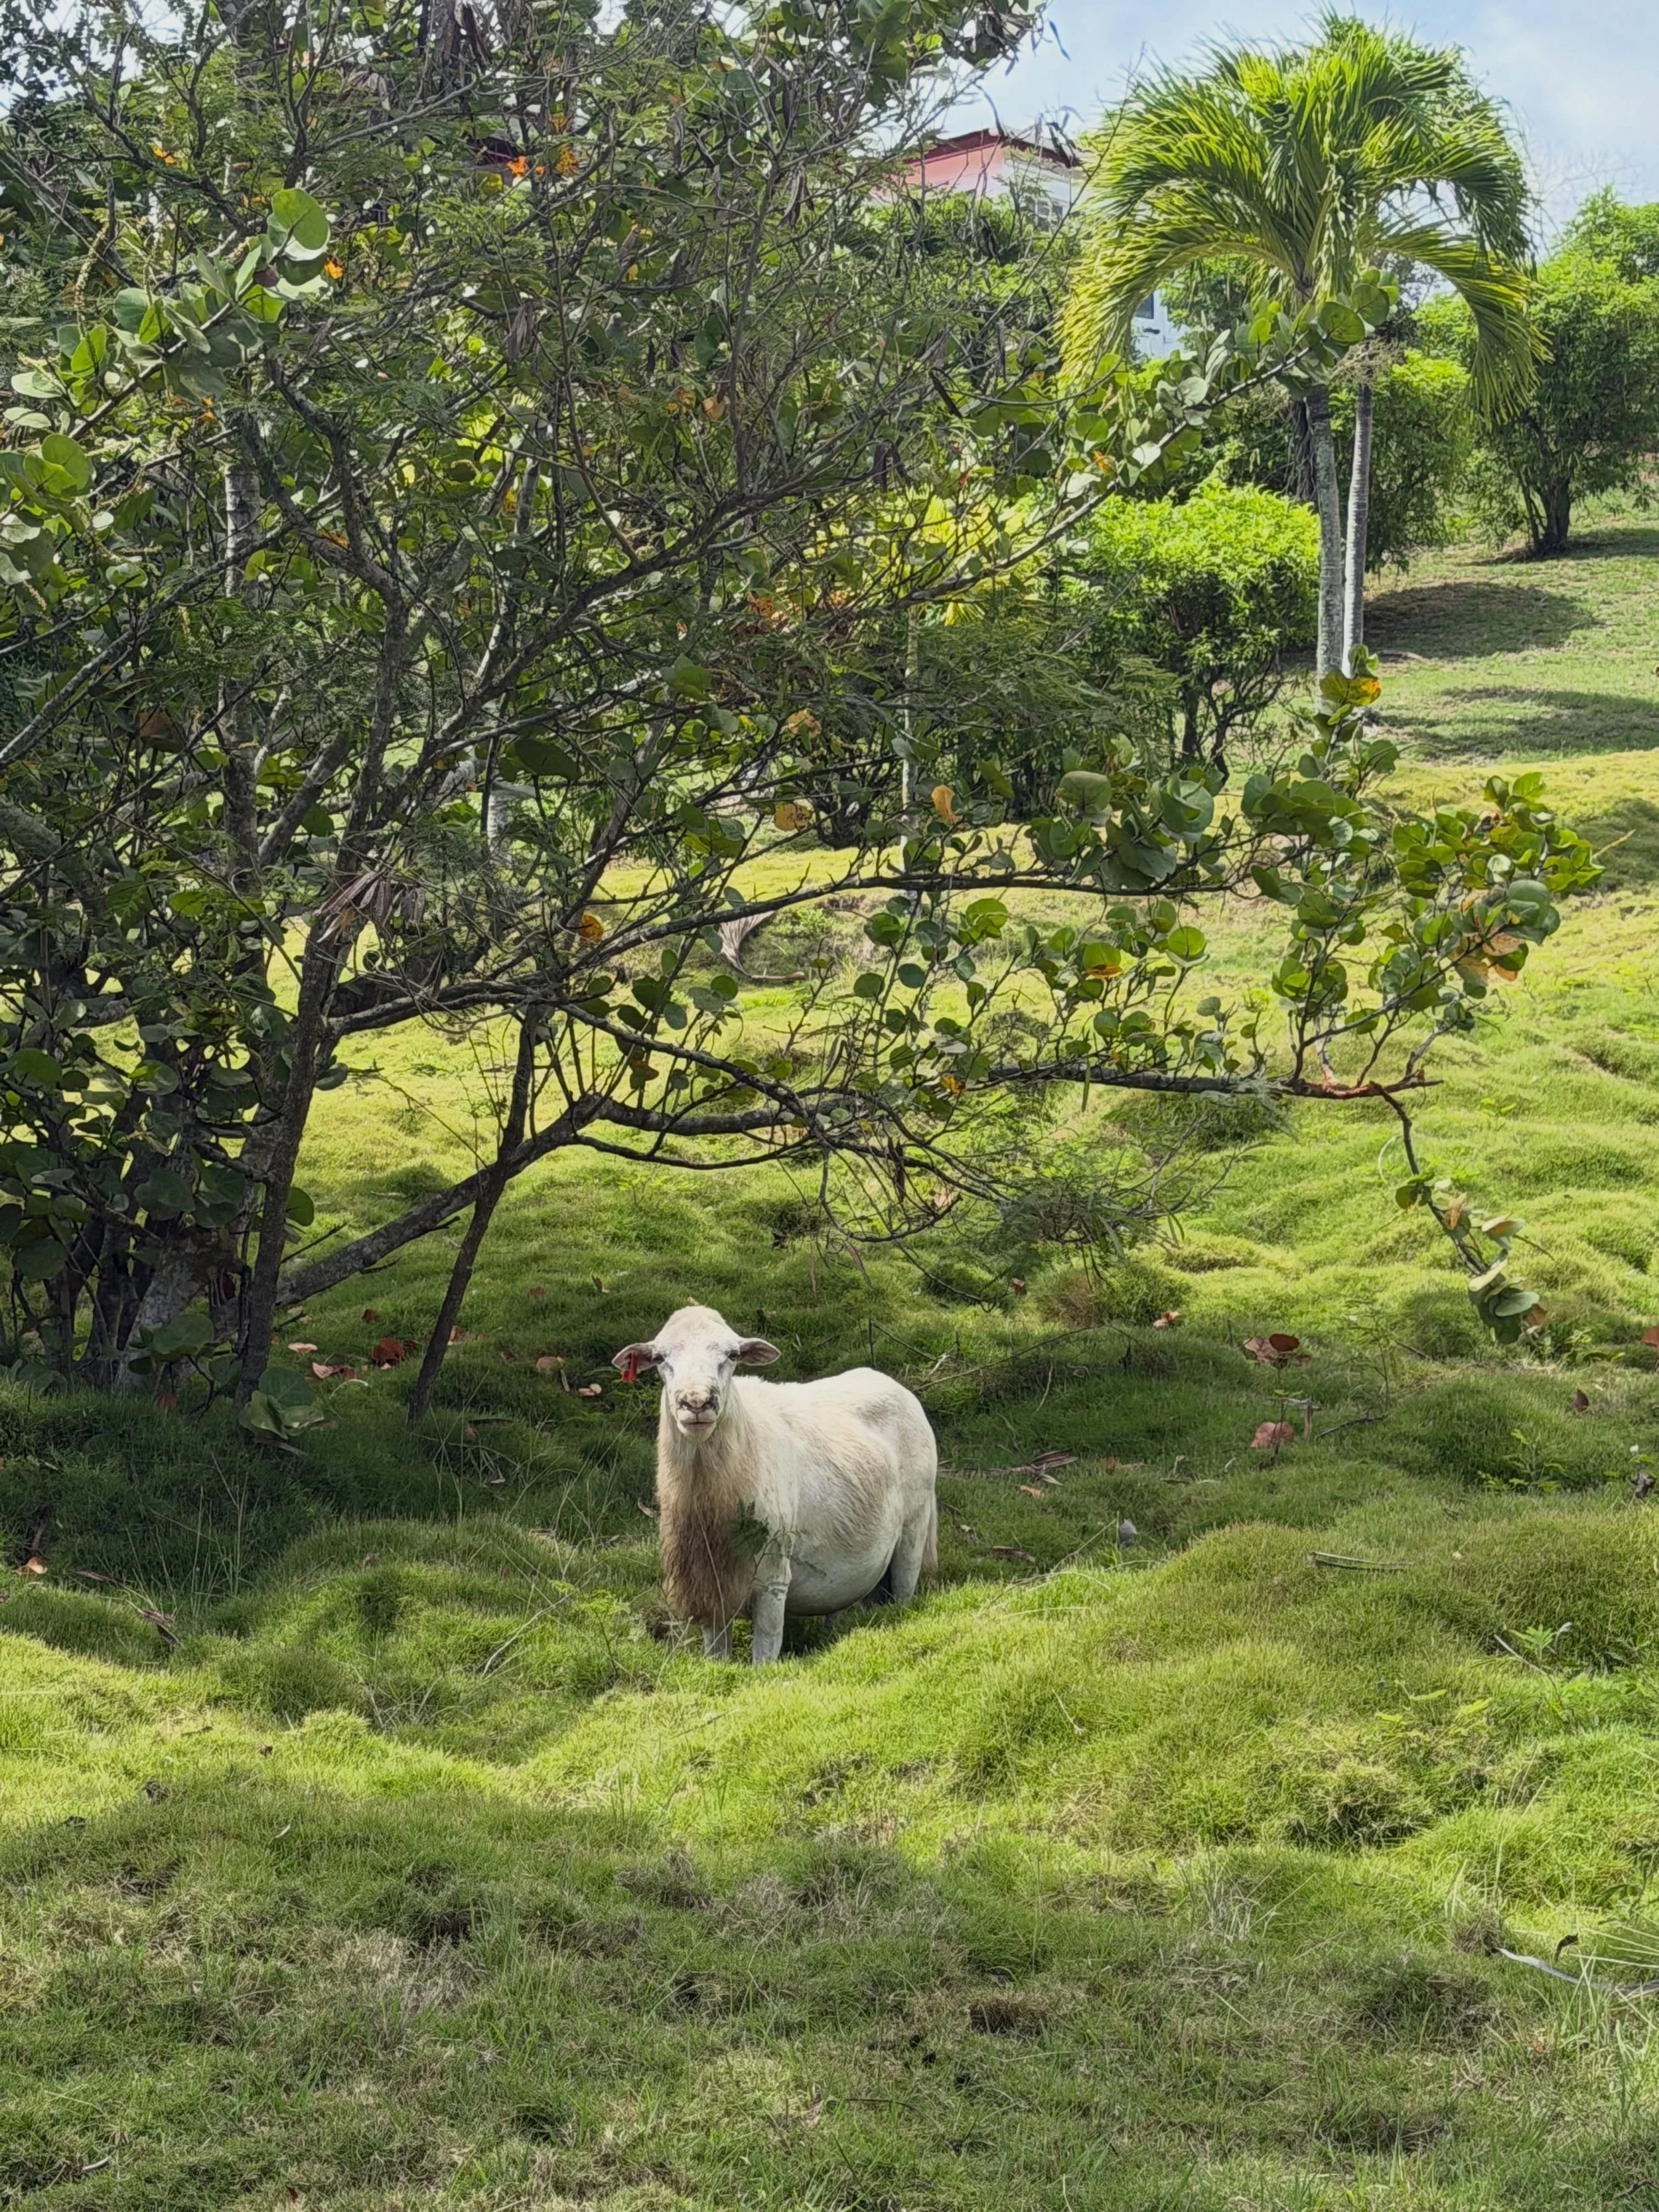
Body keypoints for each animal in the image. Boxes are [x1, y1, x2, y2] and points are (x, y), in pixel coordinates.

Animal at [613, 1303, 938, 1661]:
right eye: (660, 1358)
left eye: (732, 1355)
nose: (697, 1402)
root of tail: (888, 1381)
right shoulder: (711, 1585)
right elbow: (717, 1655)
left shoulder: (773, 1580)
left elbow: (764, 1655)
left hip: (914, 1526)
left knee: (905, 1588)